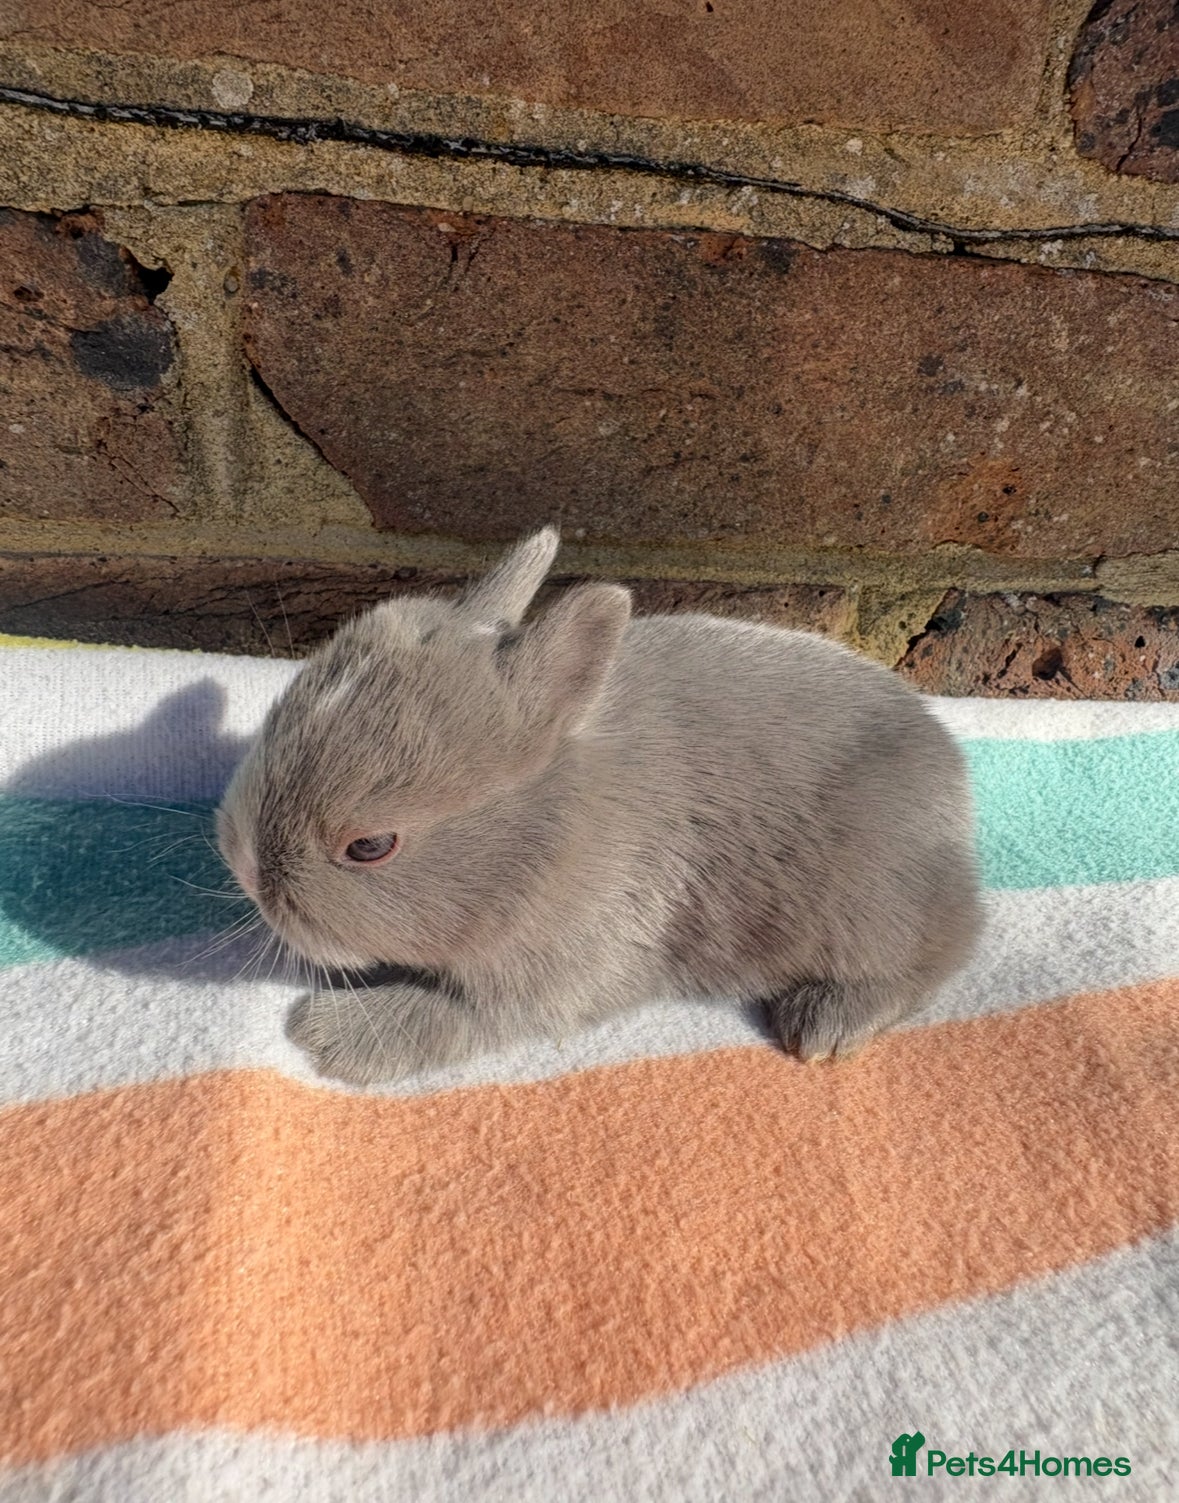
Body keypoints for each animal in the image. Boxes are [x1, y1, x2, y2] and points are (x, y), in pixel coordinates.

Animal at [216, 528, 982, 1085]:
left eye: (370, 846)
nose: (242, 861)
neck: (546, 833)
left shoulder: (558, 974)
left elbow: (453, 1014)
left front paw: (322, 1036)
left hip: (866, 908)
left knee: (938, 956)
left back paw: (823, 1024)